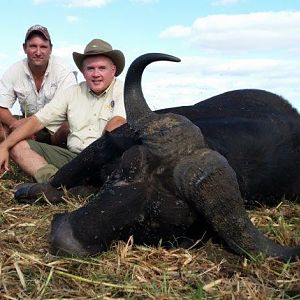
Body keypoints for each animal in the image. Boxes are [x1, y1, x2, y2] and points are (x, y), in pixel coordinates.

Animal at [14, 53, 300, 260]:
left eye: (153, 218)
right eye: (123, 171)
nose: (64, 236)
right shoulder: (110, 142)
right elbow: (58, 181)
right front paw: (31, 190)